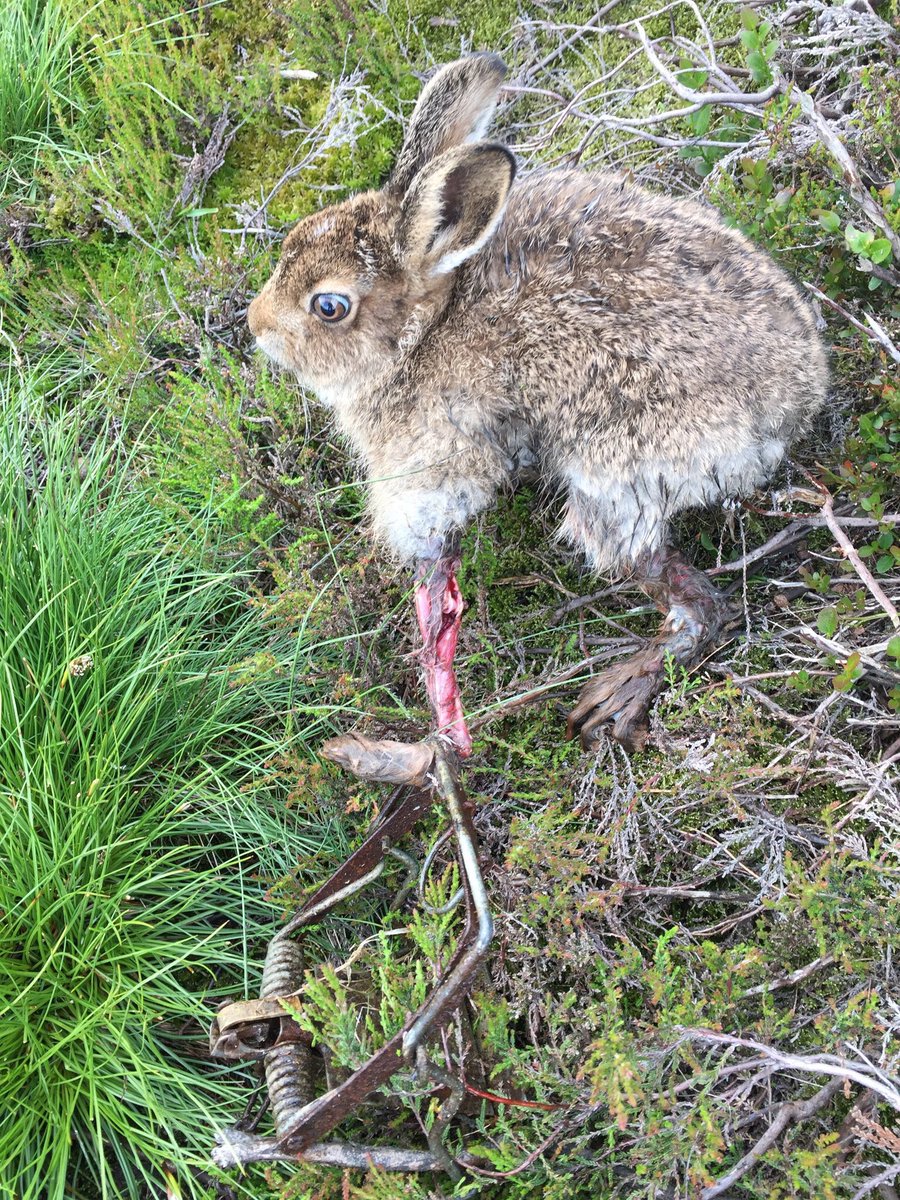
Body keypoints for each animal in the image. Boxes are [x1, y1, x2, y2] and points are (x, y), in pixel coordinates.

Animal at [248, 53, 829, 752]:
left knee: (695, 602)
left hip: (618, 478)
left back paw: (616, 694)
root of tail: (797, 399)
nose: (255, 324)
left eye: (329, 307)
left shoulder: (435, 462)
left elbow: (434, 573)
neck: (425, 327)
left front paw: (441, 718)